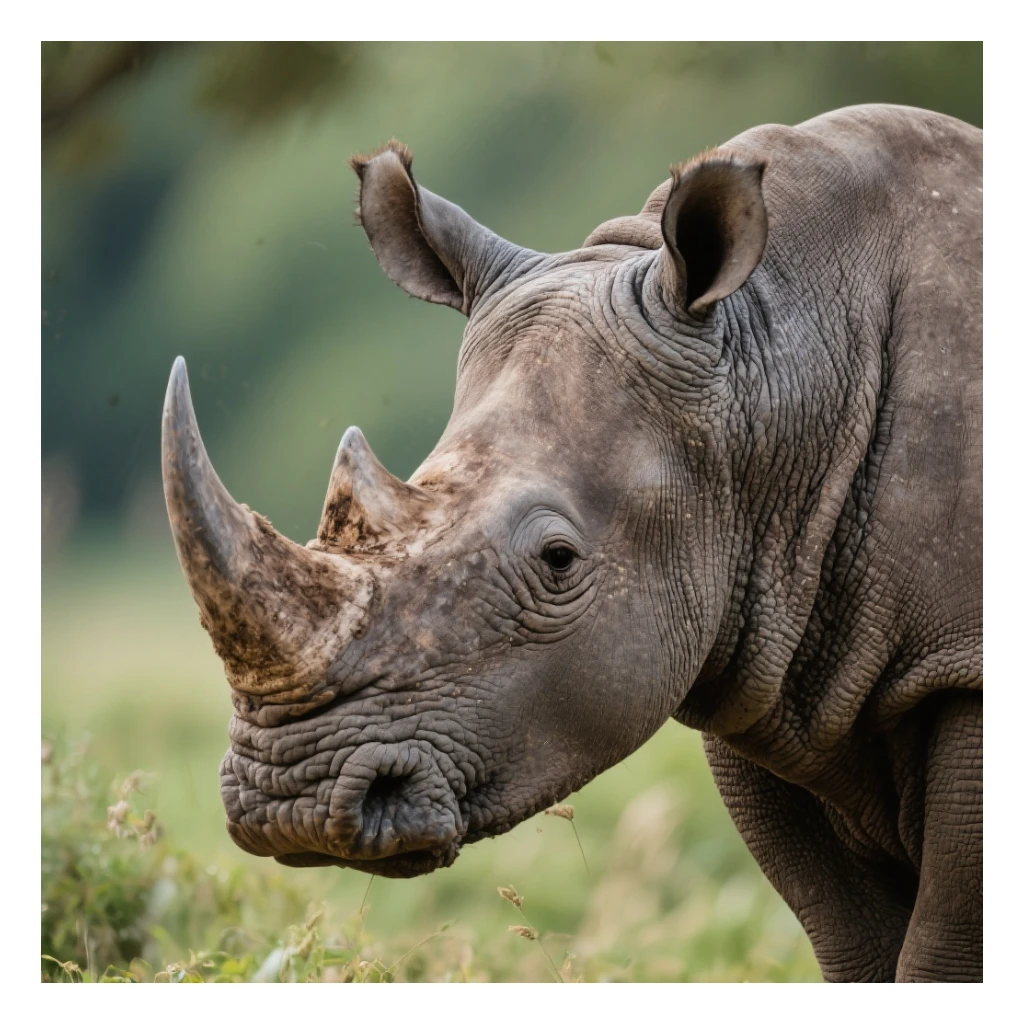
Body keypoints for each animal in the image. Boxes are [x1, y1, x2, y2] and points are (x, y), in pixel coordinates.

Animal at [161, 104, 982, 982]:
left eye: (558, 560)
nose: (290, 801)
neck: (775, 361)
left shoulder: (960, 665)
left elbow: (941, 949)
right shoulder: (767, 661)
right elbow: (852, 942)